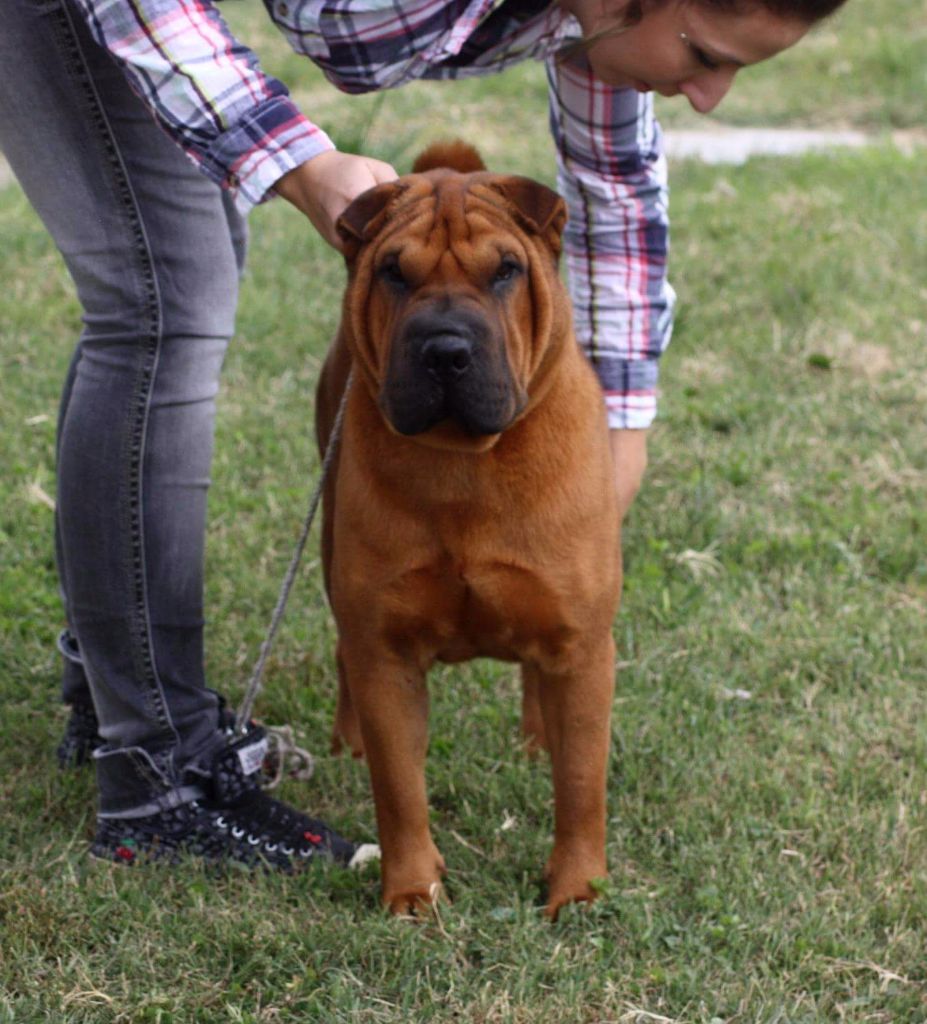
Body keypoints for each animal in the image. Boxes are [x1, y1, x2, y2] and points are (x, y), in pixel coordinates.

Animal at [317, 140, 622, 917]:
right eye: (394, 272)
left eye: (505, 271)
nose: (445, 348)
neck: (466, 466)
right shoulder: (385, 652)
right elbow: (399, 790)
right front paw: (411, 894)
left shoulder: (582, 647)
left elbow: (582, 784)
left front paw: (577, 892)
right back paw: (346, 745)